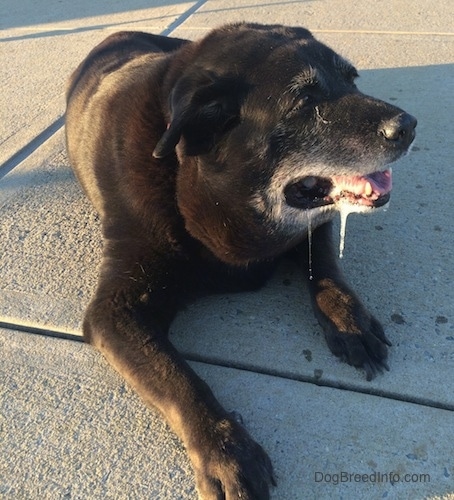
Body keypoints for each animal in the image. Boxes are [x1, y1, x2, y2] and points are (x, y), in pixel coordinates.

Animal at [65, 24, 416, 500]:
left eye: (352, 80)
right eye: (304, 100)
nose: (410, 126)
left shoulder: (313, 224)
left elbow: (325, 267)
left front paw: (349, 319)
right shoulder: (115, 309)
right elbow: (179, 378)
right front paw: (226, 452)